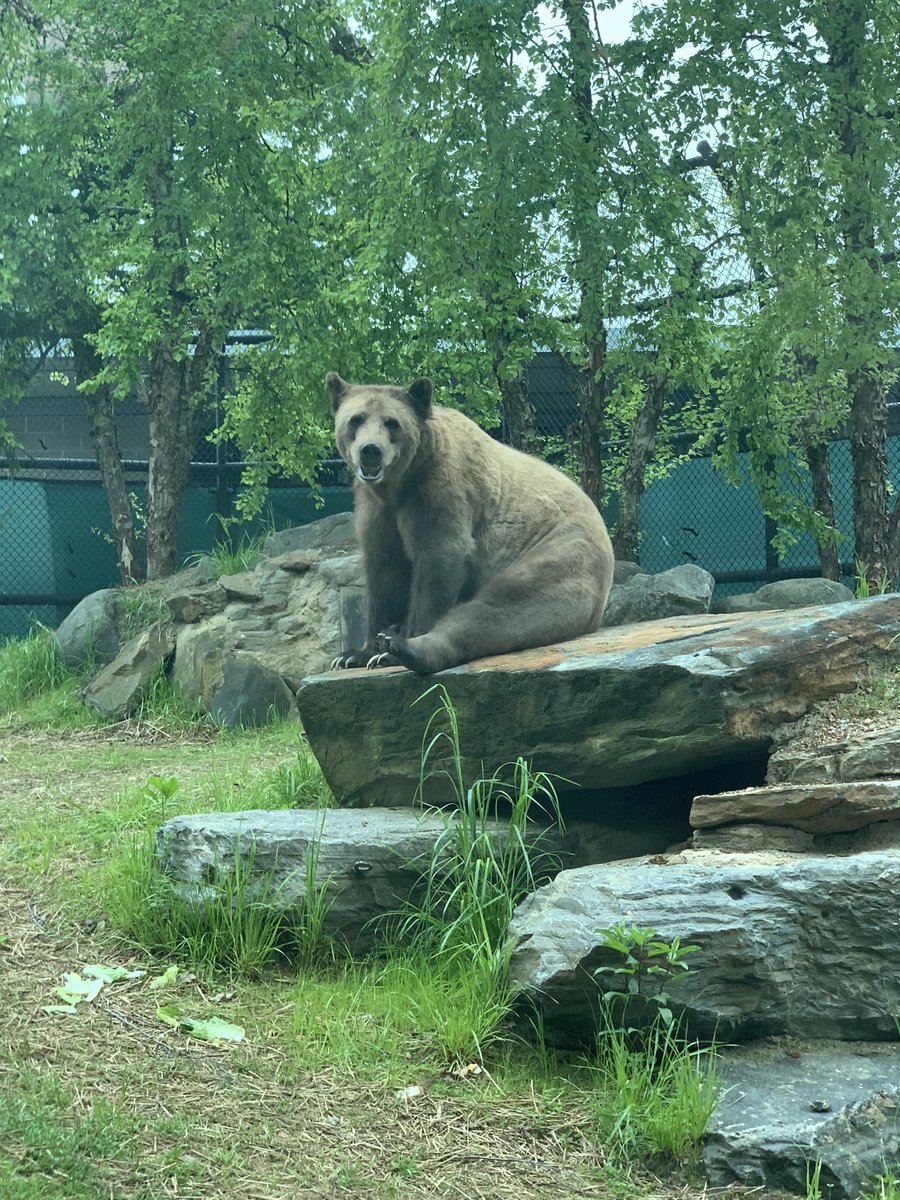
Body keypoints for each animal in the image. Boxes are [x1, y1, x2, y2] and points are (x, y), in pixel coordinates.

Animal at [326, 372, 614, 674]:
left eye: (392, 423)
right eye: (356, 419)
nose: (370, 451)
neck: (398, 483)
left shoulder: (440, 489)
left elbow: (438, 563)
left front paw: (390, 647)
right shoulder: (376, 509)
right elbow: (385, 571)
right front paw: (356, 654)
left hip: (560, 549)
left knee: (503, 607)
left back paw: (405, 647)